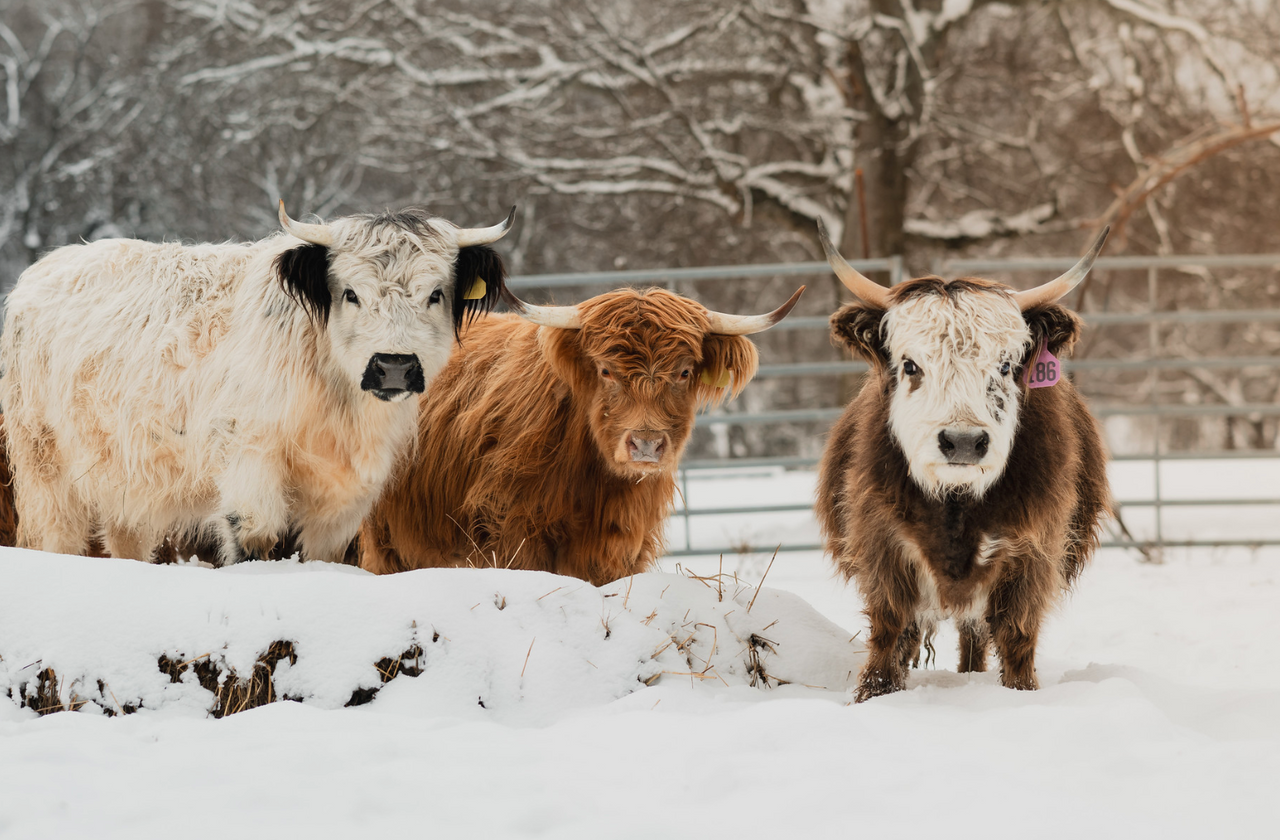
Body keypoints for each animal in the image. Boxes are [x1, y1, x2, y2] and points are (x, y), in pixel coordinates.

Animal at [0, 202, 513, 566]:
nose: (393, 365)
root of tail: (42, 270)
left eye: (435, 294)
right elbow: (256, 541)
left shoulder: (342, 499)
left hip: (126, 477)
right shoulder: (248, 460)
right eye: (350, 293)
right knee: (60, 537)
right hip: (45, 466)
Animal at [358, 284, 805, 585]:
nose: (646, 444)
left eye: (684, 372)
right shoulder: (513, 533)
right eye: (606, 370)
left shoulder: (622, 546)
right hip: (388, 538)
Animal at [814, 222, 1112, 701]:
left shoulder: (1033, 552)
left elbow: (1015, 636)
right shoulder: (883, 545)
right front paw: (873, 695)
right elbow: (890, 632)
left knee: (975, 636)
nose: (964, 442)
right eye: (910, 365)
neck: (956, 505)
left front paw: (1022, 692)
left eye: (1006, 365)